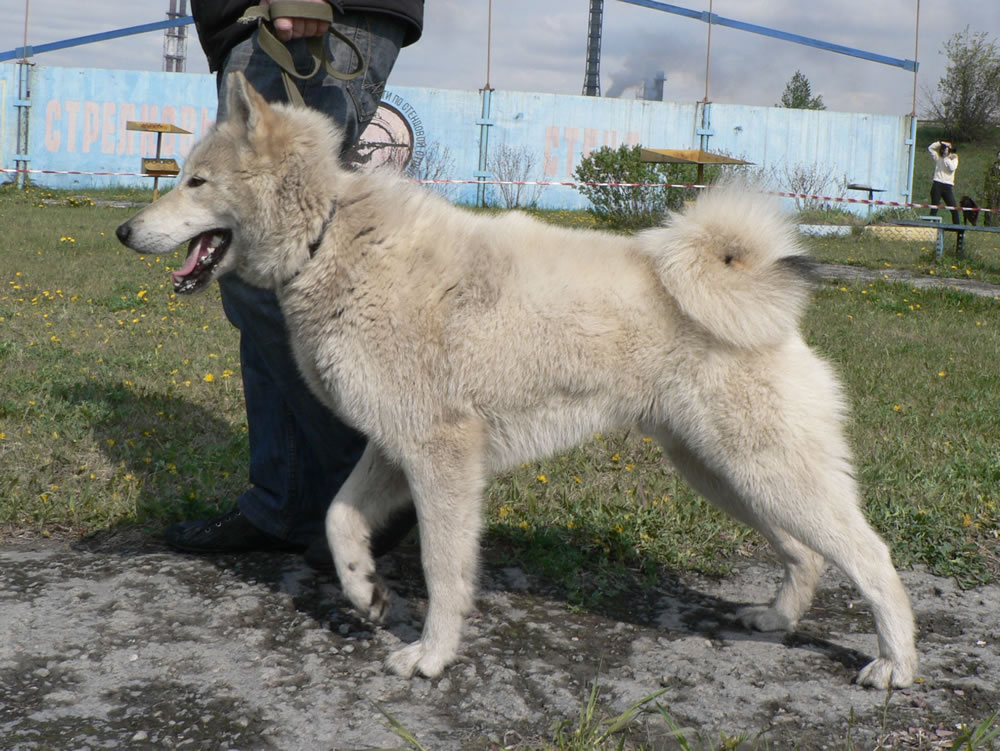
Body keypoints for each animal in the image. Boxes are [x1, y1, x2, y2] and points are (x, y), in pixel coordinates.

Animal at [115, 72, 916, 688]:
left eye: (196, 181)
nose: (124, 232)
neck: (329, 234)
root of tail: (759, 289)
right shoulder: (395, 447)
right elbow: (339, 516)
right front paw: (365, 590)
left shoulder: (440, 458)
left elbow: (443, 569)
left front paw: (431, 656)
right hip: (724, 472)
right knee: (807, 552)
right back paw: (775, 619)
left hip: (765, 468)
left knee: (870, 557)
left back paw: (896, 665)